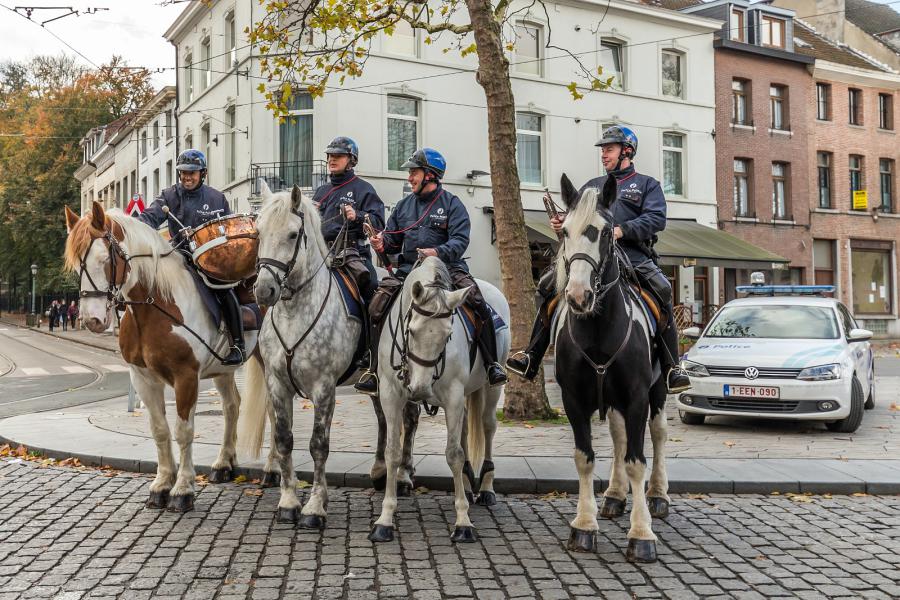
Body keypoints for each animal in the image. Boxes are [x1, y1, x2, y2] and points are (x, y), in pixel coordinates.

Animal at [65, 203, 264, 510]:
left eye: (104, 260)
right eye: (77, 266)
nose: (92, 320)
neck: (154, 305)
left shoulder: (186, 377)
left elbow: (183, 430)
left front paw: (182, 489)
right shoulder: (143, 378)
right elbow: (159, 429)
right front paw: (161, 485)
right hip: (223, 369)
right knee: (232, 406)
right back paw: (223, 463)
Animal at [239, 185, 366, 528]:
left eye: (293, 234)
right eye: (258, 232)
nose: (263, 291)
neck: (295, 313)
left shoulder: (324, 388)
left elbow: (318, 445)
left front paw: (315, 507)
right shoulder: (278, 383)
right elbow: (284, 437)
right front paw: (288, 501)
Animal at [366, 258, 506, 544]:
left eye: (448, 334)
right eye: (410, 330)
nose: (419, 388)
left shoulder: (453, 396)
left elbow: (453, 454)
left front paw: (463, 522)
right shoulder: (390, 395)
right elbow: (392, 453)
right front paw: (384, 520)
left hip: (490, 388)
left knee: (487, 427)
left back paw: (486, 488)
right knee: (465, 431)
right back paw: (466, 482)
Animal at [552, 173, 672, 564]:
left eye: (606, 232)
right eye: (564, 231)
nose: (578, 296)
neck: (598, 331)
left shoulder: (636, 397)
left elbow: (637, 460)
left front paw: (642, 534)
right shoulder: (574, 400)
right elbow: (585, 458)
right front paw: (584, 526)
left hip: (659, 390)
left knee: (658, 433)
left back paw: (658, 496)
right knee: (619, 438)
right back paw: (615, 497)